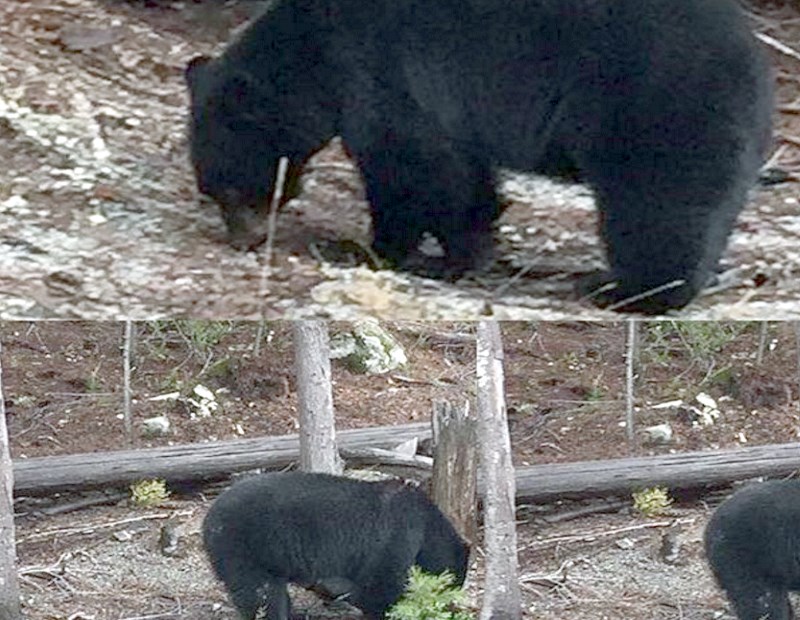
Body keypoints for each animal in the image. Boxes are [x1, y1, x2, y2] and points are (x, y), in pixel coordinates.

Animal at [184, 0, 772, 312]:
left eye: (232, 187)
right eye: (210, 191)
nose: (241, 240)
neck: (311, 58)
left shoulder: (382, 72)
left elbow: (413, 167)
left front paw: (383, 250)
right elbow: (459, 175)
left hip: (654, 106)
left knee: (658, 202)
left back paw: (626, 289)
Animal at [202, 472, 468, 616]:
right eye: (456, 581)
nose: (450, 604)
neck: (427, 526)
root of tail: (208, 518)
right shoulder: (398, 534)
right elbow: (382, 584)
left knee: (273, 593)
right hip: (241, 546)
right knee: (259, 595)